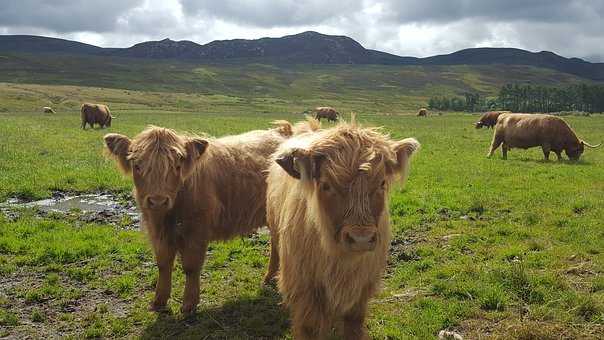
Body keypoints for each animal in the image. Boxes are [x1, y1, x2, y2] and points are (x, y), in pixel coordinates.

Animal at [104, 121, 298, 314]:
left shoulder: (197, 231)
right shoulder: (157, 231)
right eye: (137, 165)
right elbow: (163, 264)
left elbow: (191, 266)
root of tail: (282, 131)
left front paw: (189, 304)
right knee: (275, 243)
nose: (158, 201)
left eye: (177, 166)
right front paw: (158, 301)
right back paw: (269, 277)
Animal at [264, 119, 420, 340]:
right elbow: (309, 328)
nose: (361, 238)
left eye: (381, 183)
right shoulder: (304, 291)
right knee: (274, 248)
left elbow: (353, 326)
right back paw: (268, 276)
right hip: (273, 225)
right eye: (326, 185)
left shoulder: (361, 292)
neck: (341, 262)